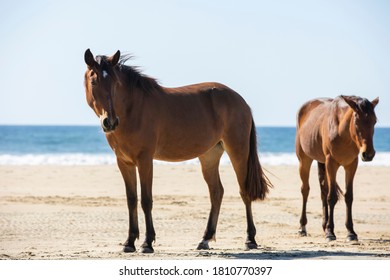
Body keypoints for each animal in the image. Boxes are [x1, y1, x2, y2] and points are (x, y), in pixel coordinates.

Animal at [82, 49, 272, 253]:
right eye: (94, 81)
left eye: (115, 83)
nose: (110, 122)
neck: (132, 110)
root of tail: (241, 101)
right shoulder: (124, 162)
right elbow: (131, 200)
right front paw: (129, 242)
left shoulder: (145, 160)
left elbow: (146, 200)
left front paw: (147, 242)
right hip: (209, 156)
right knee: (216, 192)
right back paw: (205, 239)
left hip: (238, 151)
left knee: (244, 191)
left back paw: (250, 239)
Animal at [296, 95, 378, 242]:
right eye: (357, 121)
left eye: (374, 121)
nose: (368, 154)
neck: (343, 133)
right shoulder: (331, 164)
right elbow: (332, 197)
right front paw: (330, 232)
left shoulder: (351, 165)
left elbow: (348, 196)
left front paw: (351, 232)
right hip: (304, 160)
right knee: (305, 190)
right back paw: (303, 227)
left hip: (322, 162)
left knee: (323, 190)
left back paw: (324, 226)